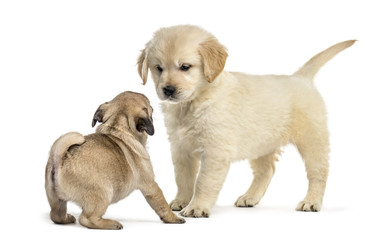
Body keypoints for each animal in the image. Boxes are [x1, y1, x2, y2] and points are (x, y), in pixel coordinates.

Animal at [43, 91, 185, 229]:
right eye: (150, 107)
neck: (117, 126)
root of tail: (60, 160)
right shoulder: (150, 184)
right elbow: (161, 204)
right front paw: (173, 218)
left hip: (56, 199)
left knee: (56, 215)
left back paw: (67, 218)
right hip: (103, 193)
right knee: (87, 219)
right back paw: (112, 224)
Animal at [138, 24, 356, 218]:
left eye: (185, 67)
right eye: (158, 68)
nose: (168, 90)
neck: (193, 103)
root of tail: (300, 78)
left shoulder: (215, 151)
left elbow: (203, 182)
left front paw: (197, 207)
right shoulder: (180, 148)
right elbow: (183, 178)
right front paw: (182, 200)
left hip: (312, 141)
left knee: (318, 173)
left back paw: (311, 202)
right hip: (261, 143)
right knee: (267, 170)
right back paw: (250, 197)